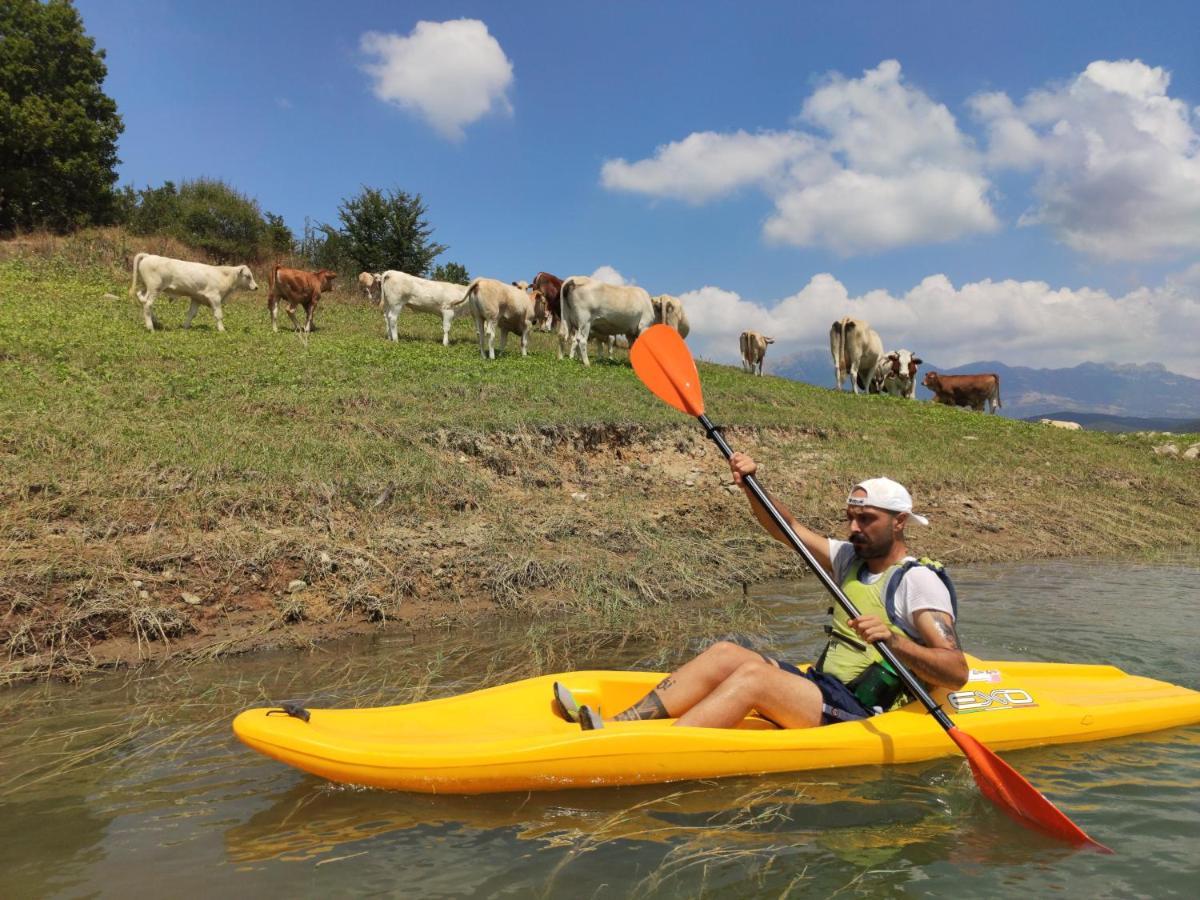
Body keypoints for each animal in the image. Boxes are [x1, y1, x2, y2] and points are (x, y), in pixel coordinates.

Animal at [127, 252, 256, 333]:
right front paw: (222, 330)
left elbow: (191, 314)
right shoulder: (215, 297)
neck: (223, 276)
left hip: (147, 287)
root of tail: (149, 256)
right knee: (148, 304)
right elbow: (218, 315)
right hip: (155, 288)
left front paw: (185, 327)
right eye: (248, 276)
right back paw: (150, 328)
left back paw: (154, 320)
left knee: (141, 297)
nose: (256, 287)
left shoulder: (196, 298)